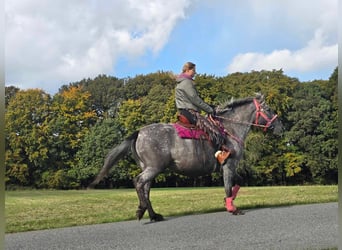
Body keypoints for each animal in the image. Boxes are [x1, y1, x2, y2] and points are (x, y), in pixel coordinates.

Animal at [88, 93, 284, 221]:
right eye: (268, 108)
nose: (281, 127)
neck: (229, 129)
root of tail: (139, 132)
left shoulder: (230, 166)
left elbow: (236, 184)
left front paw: (229, 203)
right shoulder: (229, 165)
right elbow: (229, 187)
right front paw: (232, 208)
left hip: (149, 168)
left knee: (145, 188)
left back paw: (153, 215)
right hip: (153, 168)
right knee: (139, 182)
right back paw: (142, 210)